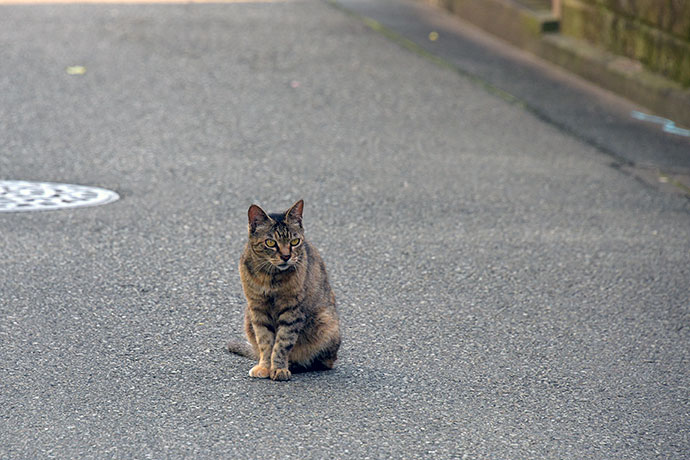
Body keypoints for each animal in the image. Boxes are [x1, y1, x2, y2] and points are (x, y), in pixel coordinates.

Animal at [227, 199, 340, 380]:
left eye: (294, 242)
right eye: (270, 243)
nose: (286, 256)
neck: (270, 276)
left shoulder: (292, 311)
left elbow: (282, 342)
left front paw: (279, 368)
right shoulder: (257, 309)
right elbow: (265, 342)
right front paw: (265, 366)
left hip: (326, 322)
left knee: (323, 362)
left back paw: (295, 364)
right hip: (248, 318)